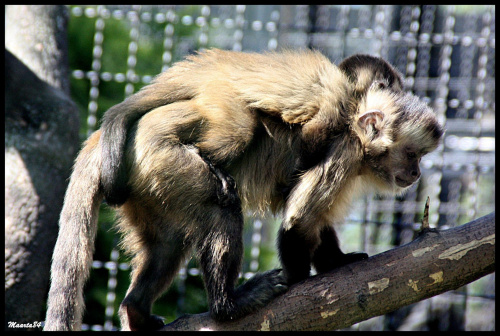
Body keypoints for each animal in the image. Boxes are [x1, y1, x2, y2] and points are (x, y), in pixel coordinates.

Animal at [43, 50, 442, 330]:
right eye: (412, 154)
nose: (416, 172)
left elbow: (317, 221)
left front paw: (336, 262)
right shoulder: (343, 146)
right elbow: (299, 221)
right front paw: (300, 280)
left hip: (147, 183)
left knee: (168, 245)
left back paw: (137, 310)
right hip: (162, 157)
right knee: (222, 205)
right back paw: (227, 306)